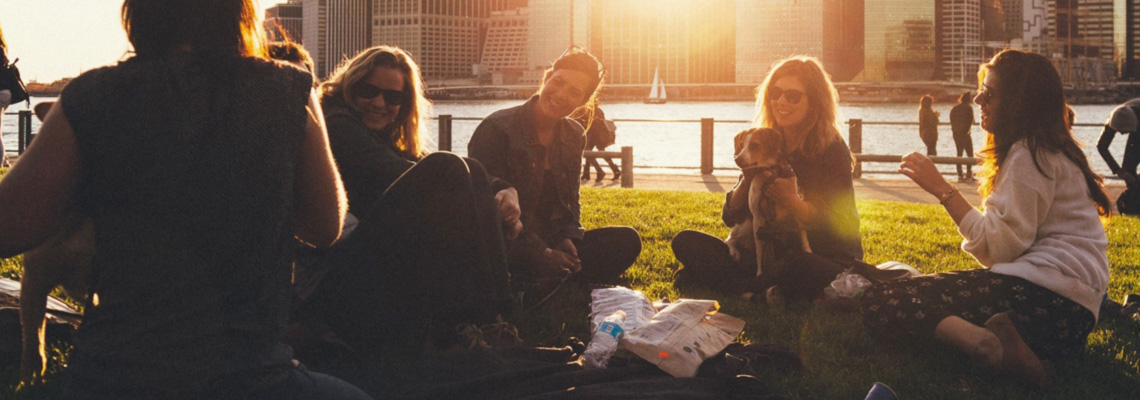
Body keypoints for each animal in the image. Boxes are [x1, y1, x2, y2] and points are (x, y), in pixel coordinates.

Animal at [720, 129, 811, 303]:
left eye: (755, 145)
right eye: (742, 145)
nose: (737, 159)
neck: (771, 172)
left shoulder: (795, 210)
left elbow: (804, 238)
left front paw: (809, 253)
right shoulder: (758, 219)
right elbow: (760, 255)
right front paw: (760, 274)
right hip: (747, 225)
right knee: (730, 239)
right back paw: (735, 252)